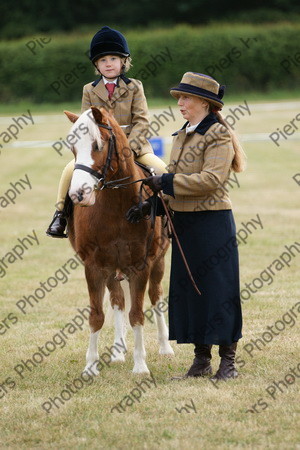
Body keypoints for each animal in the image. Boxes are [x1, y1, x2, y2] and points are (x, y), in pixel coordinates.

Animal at [64, 105, 175, 372]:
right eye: (72, 147)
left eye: (97, 144)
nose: (78, 194)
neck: (114, 206)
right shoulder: (94, 266)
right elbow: (97, 316)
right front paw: (90, 367)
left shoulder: (140, 265)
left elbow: (137, 314)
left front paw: (140, 366)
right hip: (112, 269)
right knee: (117, 300)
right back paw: (117, 350)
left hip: (158, 263)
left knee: (155, 297)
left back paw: (165, 347)